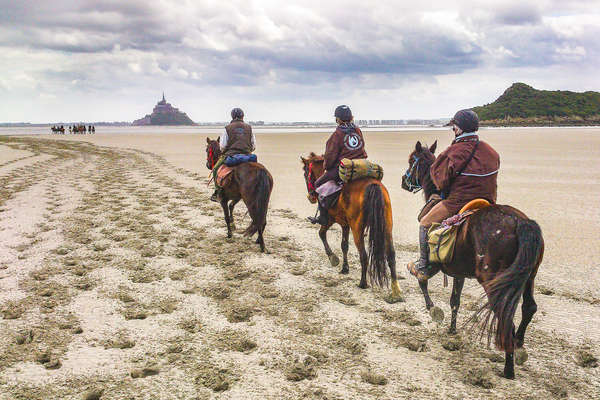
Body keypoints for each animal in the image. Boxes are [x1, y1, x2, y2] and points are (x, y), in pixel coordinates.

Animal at [300, 152, 404, 296]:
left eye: (306, 173)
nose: (311, 197)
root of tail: (373, 185)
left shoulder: (330, 219)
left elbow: (321, 234)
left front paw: (333, 258)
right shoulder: (345, 224)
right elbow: (344, 245)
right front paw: (345, 268)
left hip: (357, 229)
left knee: (364, 255)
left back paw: (363, 283)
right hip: (387, 227)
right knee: (391, 255)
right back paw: (395, 288)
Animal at [400, 141, 548, 378]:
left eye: (411, 160)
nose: (404, 181)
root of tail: (520, 222)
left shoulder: (436, 265)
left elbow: (421, 278)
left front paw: (433, 310)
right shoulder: (458, 271)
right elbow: (455, 301)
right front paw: (452, 330)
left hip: (492, 280)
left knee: (506, 319)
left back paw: (508, 368)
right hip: (528, 277)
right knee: (529, 308)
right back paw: (519, 347)